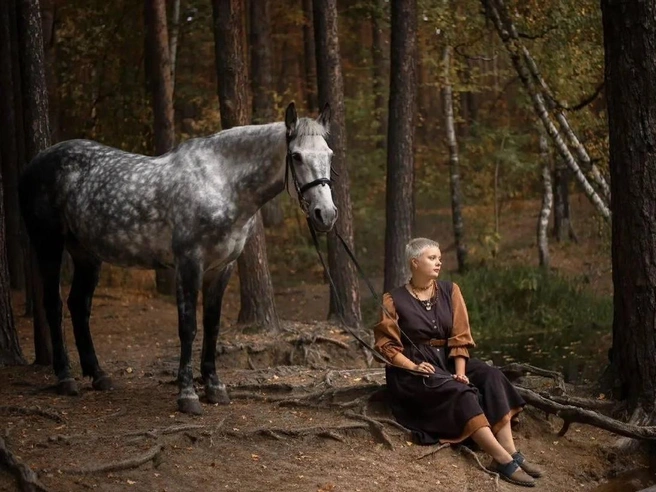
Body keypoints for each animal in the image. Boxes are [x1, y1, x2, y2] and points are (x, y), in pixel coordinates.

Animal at [18, 102, 337, 415]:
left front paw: (214, 387)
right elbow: (188, 328)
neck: (221, 183)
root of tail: (33, 164)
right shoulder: (189, 263)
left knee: (79, 305)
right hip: (49, 245)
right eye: (296, 156)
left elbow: (212, 325)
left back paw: (99, 375)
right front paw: (187, 395)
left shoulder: (222, 268)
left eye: (329, 154)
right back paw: (65, 378)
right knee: (54, 306)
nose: (326, 214)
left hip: (87, 253)